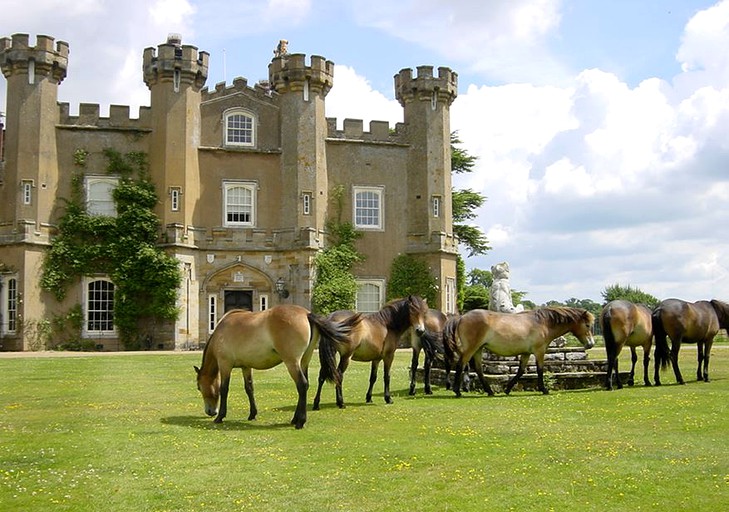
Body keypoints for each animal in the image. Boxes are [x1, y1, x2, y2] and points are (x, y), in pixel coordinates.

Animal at [195, 304, 360, 428]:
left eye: (199, 387)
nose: (210, 411)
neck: (221, 331)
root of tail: (307, 314)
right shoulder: (246, 367)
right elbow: (249, 388)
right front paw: (252, 414)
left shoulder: (225, 365)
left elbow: (224, 389)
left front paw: (220, 417)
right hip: (303, 362)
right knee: (305, 386)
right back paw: (295, 419)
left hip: (292, 362)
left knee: (302, 385)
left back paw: (300, 422)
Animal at [444, 308, 592, 396]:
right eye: (587, 325)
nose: (590, 344)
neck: (543, 323)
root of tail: (462, 317)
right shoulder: (539, 351)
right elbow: (540, 370)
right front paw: (544, 389)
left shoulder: (526, 353)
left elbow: (520, 371)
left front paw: (507, 389)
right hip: (471, 349)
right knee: (461, 365)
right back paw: (457, 391)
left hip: (478, 349)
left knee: (478, 369)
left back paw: (490, 391)